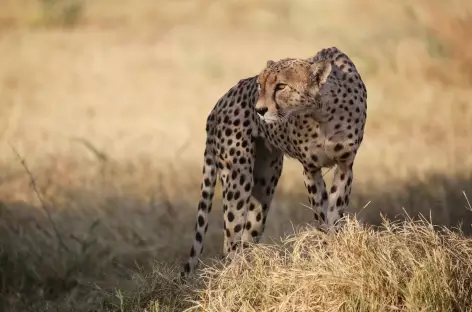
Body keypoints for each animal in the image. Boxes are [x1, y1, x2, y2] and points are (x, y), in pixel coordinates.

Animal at [181, 47, 368, 278]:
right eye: (260, 85)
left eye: (281, 86)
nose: (259, 110)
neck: (322, 112)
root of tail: (220, 101)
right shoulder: (310, 170)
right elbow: (321, 215)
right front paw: (326, 248)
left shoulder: (344, 165)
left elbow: (335, 212)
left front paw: (333, 249)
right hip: (238, 176)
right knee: (230, 239)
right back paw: (233, 276)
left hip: (265, 181)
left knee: (247, 236)